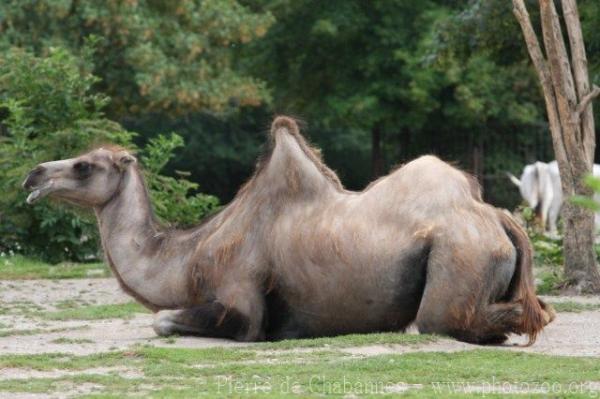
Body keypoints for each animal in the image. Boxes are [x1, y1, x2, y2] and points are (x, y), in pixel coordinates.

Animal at [24, 115, 556, 344]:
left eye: (84, 166)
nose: (33, 175)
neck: (190, 257)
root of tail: (500, 219)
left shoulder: (240, 295)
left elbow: (166, 319)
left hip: (459, 257)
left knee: (459, 319)